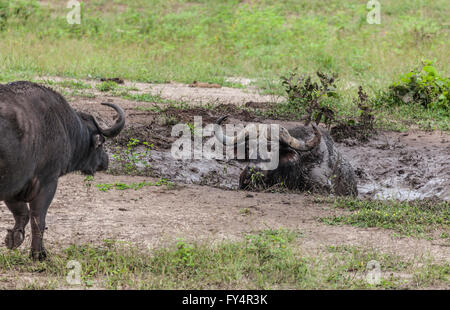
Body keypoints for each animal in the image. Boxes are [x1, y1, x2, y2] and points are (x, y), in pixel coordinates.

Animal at [0, 80, 125, 260]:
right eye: (101, 143)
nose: (106, 161)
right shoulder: (47, 182)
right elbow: (38, 219)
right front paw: (38, 254)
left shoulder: (13, 185)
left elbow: (22, 213)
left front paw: (14, 238)